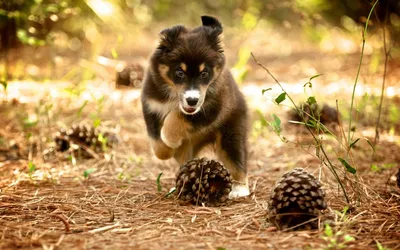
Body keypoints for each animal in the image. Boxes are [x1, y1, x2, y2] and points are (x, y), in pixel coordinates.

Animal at [140, 16, 247, 199]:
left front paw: (170, 139)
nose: (192, 100)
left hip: (232, 134)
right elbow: (156, 140)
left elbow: (177, 118)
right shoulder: (151, 106)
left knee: (236, 160)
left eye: (204, 73)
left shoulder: (212, 108)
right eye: (179, 72)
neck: (174, 96)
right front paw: (166, 151)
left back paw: (239, 189)